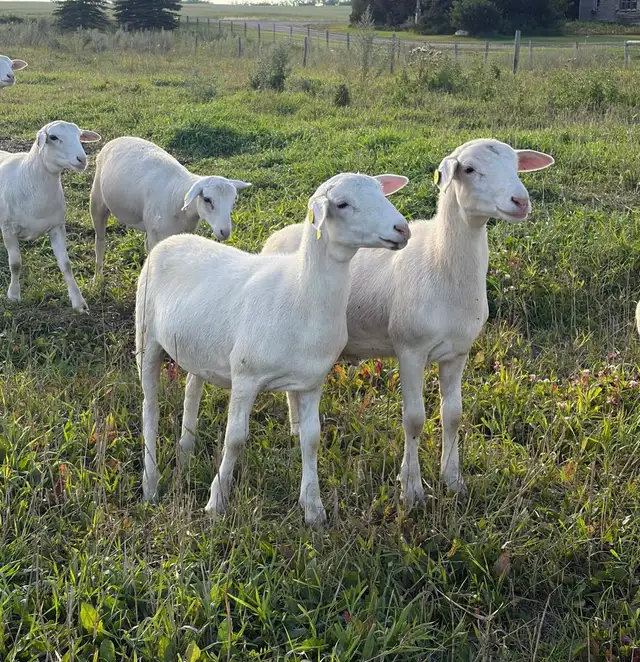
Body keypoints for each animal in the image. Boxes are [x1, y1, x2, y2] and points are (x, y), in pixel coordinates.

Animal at [0, 121, 101, 312]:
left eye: (80, 136)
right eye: (53, 137)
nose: (82, 160)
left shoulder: (57, 226)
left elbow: (66, 265)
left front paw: (78, 302)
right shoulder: (9, 228)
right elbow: (15, 264)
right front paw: (14, 295)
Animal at [90, 137, 251, 279]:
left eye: (233, 201)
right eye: (207, 199)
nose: (225, 232)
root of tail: (118, 139)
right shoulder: (156, 237)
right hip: (97, 200)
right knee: (100, 240)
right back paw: (98, 278)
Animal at [135, 172, 411, 526]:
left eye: (380, 191)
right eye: (342, 204)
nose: (402, 229)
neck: (300, 291)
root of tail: (171, 241)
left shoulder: (311, 382)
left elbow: (311, 439)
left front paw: (313, 508)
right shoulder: (246, 376)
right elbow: (235, 438)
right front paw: (216, 501)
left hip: (197, 346)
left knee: (192, 386)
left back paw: (186, 447)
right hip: (146, 339)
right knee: (150, 408)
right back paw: (150, 483)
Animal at [262, 139, 555, 507]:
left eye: (516, 165)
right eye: (469, 169)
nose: (520, 201)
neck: (440, 260)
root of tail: (276, 236)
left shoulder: (457, 352)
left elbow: (453, 415)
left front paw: (453, 480)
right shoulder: (410, 350)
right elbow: (414, 420)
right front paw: (411, 489)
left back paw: (297, 426)